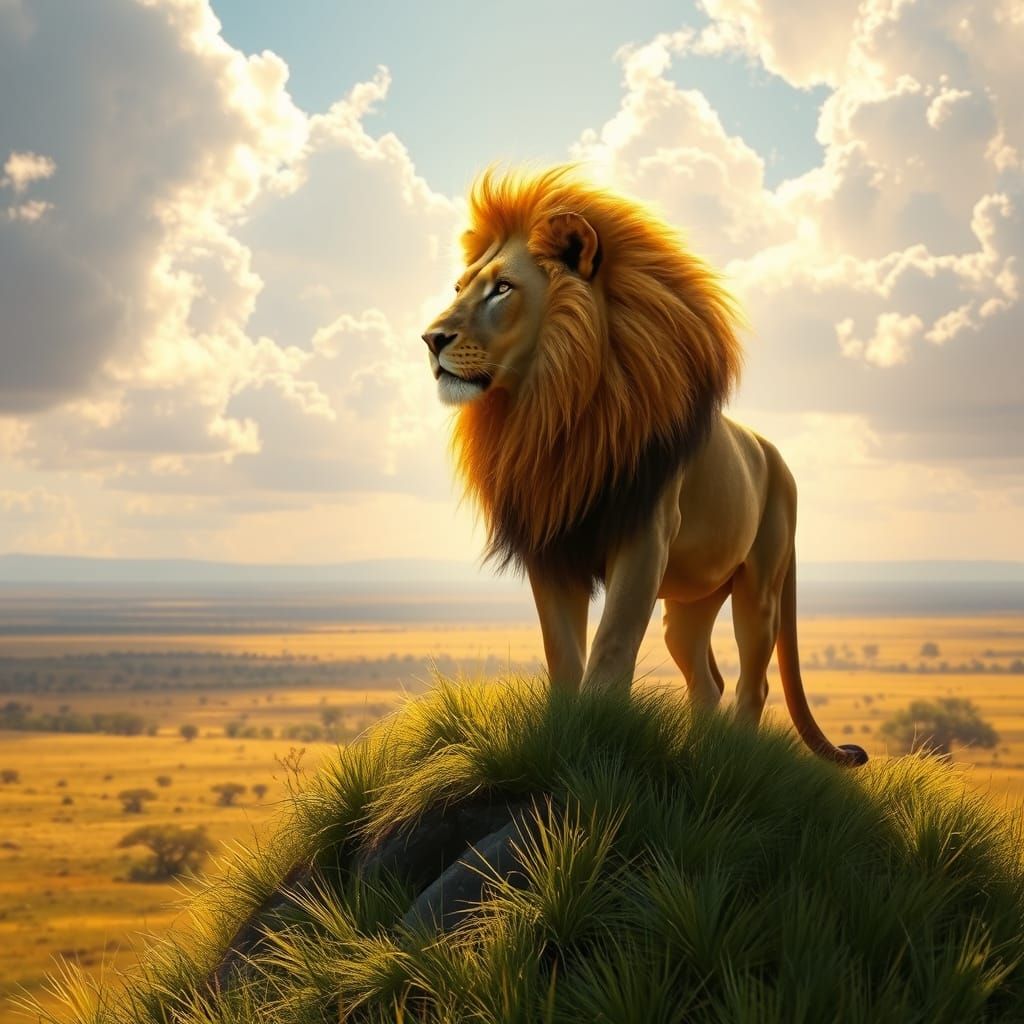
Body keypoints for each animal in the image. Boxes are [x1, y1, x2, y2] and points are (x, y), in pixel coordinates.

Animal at [421, 165, 866, 767]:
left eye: (503, 288)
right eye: (459, 288)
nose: (431, 339)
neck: (555, 406)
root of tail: (772, 452)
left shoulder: (644, 539)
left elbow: (610, 649)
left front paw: (592, 743)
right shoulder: (551, 547)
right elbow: (563, 653)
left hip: (760, 587)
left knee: (753, 683)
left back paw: (731, 764)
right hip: (692, 603)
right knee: (707, 680)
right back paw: (702, 757)